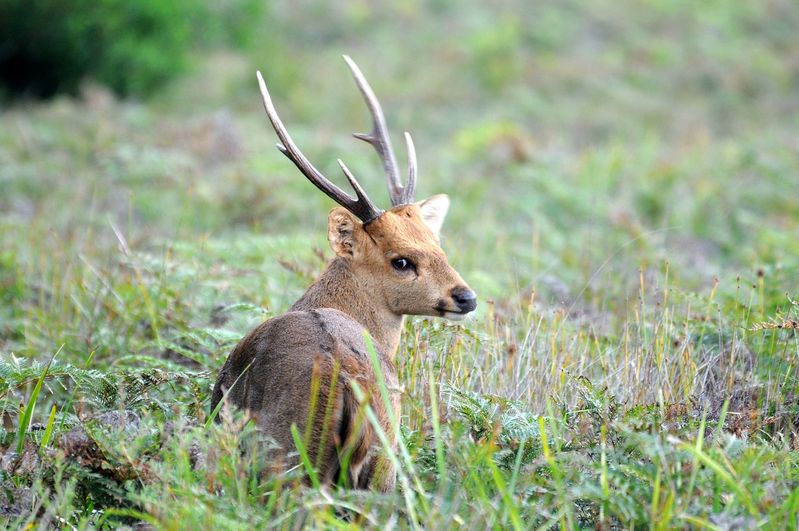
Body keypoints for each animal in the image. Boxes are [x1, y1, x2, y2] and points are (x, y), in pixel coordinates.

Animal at [210, 56, 477, 492]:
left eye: (439, 246)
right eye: (401, 260)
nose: (466, 297)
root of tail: (353, 383)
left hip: (288, 451)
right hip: (384, 456)